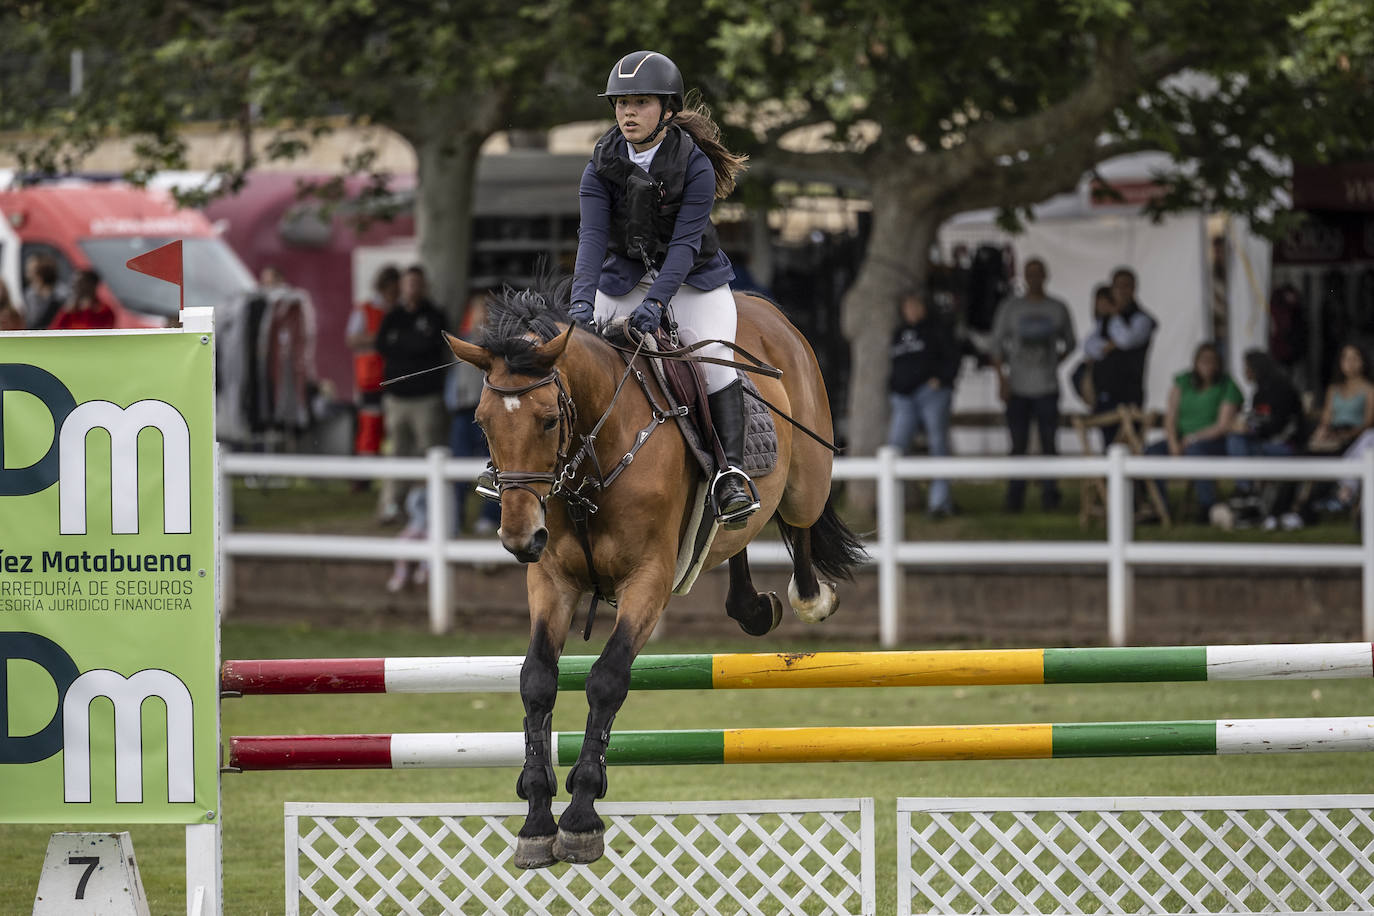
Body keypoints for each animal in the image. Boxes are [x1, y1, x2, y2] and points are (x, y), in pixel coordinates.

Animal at [445, 282, 862, 873]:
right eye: (482, 422)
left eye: (548, 419)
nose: (520, 538)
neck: (594, 459)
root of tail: (763, 305)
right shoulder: (552, 581)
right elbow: (537, 680)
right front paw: (536, 818)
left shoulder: (648, 580)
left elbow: (607, 678)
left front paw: (581, 816)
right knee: (735, 536)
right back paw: (752, 606)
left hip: (809, 478)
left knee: (799, 524)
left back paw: (808, 598)